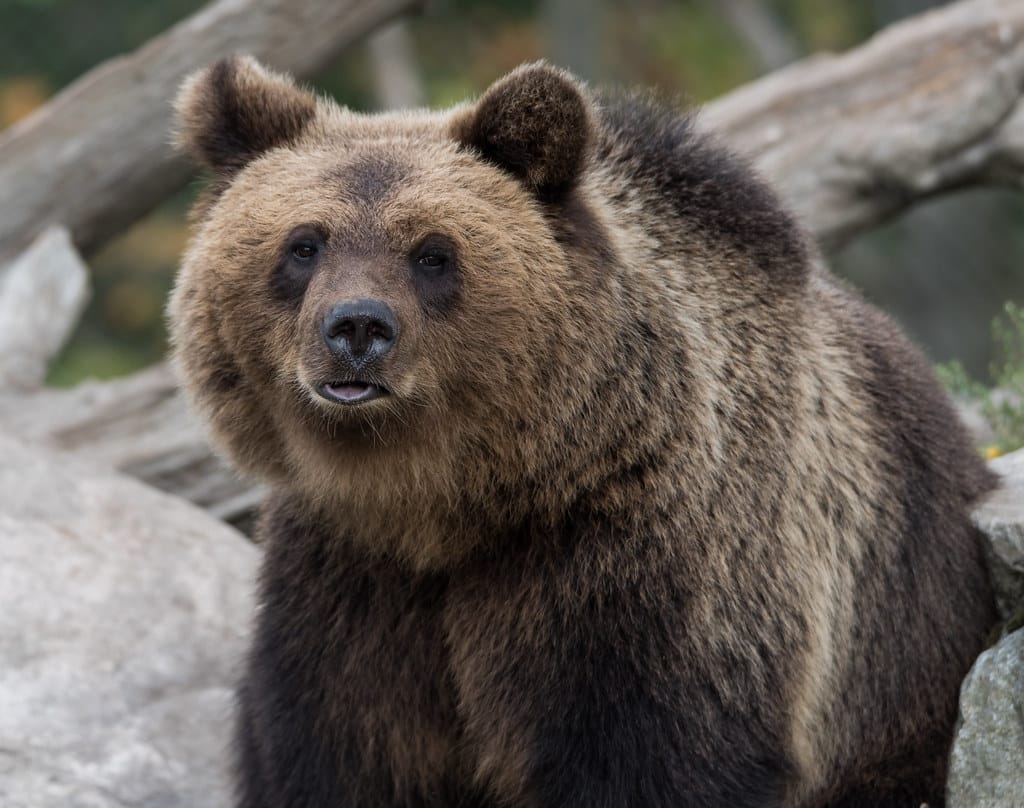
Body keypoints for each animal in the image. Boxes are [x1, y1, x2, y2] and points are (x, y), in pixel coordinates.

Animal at [169, 56, 997, 808]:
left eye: (432, 253)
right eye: (304, 244)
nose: (357, 329)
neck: (442, 503)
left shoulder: (632, 566)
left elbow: (655, 756)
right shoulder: (347, 581)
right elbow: (340, 750)